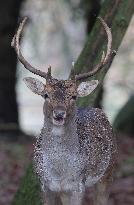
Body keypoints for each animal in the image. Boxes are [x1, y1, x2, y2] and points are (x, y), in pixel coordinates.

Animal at [11, 16, 116, 204]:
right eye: (46, 94)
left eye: (73, 96)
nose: (59, 114)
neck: (59, 173)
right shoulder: (44, 185)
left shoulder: (77, 186)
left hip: (109, 170)